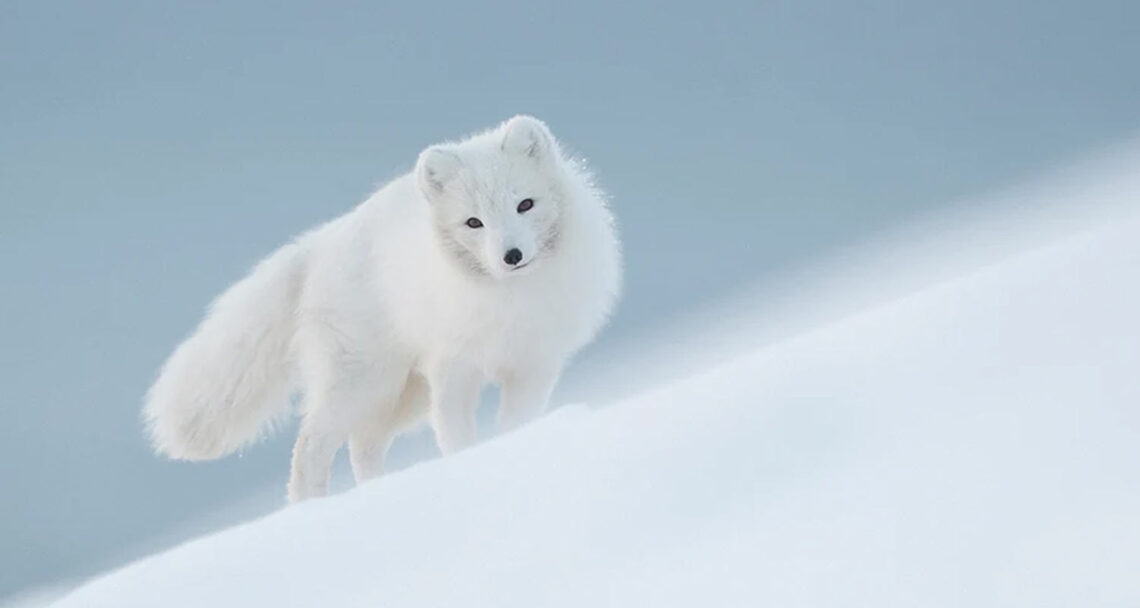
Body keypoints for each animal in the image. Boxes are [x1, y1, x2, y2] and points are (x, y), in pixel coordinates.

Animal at [144, 116, 621, 502]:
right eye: (474, 223)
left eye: (525, 204)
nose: (512, 256)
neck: (510, 301)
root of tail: (322, 242)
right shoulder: (453, 370)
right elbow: (456, 435)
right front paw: (469, 465)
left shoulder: (533, 366)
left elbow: (516, 424)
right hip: (363, 381)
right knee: (311, 447)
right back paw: (310, 509)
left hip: (401, 394)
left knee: (363, 445)